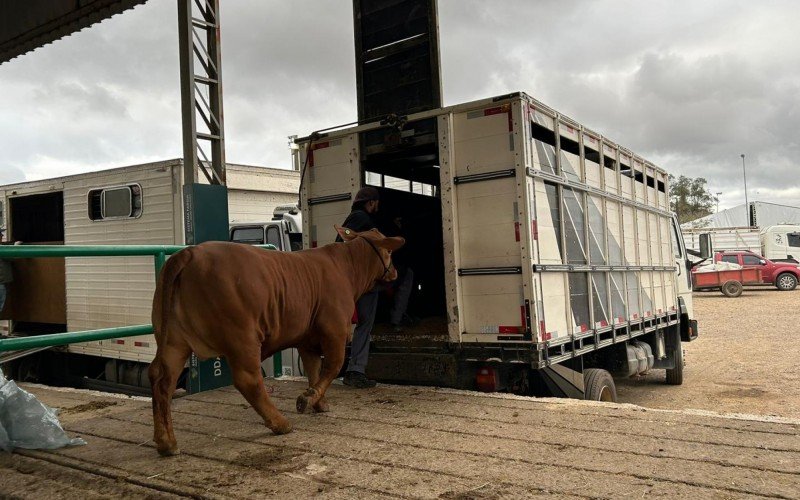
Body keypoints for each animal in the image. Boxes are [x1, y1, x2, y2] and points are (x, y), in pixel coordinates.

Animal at [148, 227, 404, 458]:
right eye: (390, 252)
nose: (395, 272)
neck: (346, 267)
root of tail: (190, 252)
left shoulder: (307, 340)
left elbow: (313, 370)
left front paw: (318, 402)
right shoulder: (336, 331)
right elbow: (332, 367)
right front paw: (307, 399)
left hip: (173, 341)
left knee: (162, 381)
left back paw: (166, 443)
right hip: (243, 337)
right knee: (249, 380)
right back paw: (280, 423)